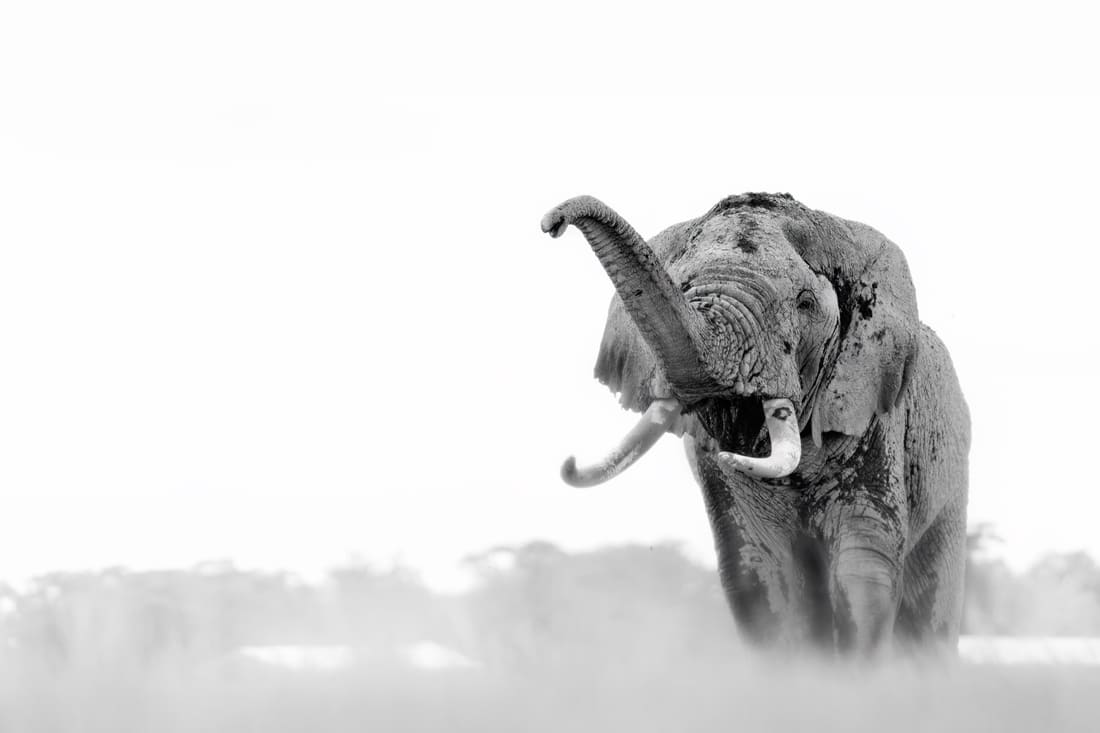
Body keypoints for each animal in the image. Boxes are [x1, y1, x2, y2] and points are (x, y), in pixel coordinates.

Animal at [540, 193, 970, 656]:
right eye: (681, 287)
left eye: (804, 303)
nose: (552, 222)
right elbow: (759, 572)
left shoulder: (877, 418)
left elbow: (862, 568)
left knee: (929, 614)